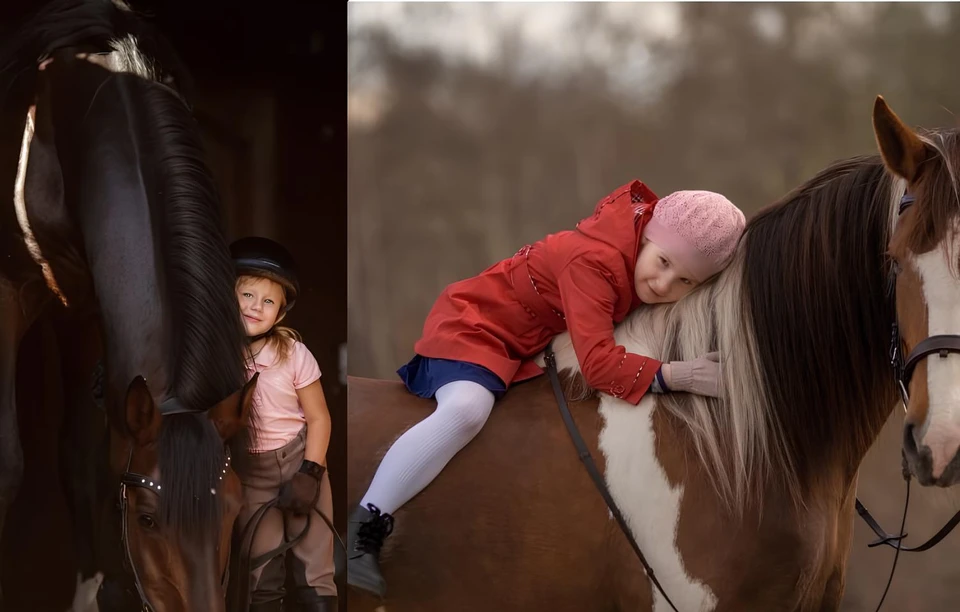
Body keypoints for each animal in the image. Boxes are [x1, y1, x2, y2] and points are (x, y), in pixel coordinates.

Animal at [0, 2, 256, 608]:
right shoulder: (10, 287)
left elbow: (83, 459)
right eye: (147, 518)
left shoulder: (85, 308)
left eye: (234, 511)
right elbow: (8, 465)